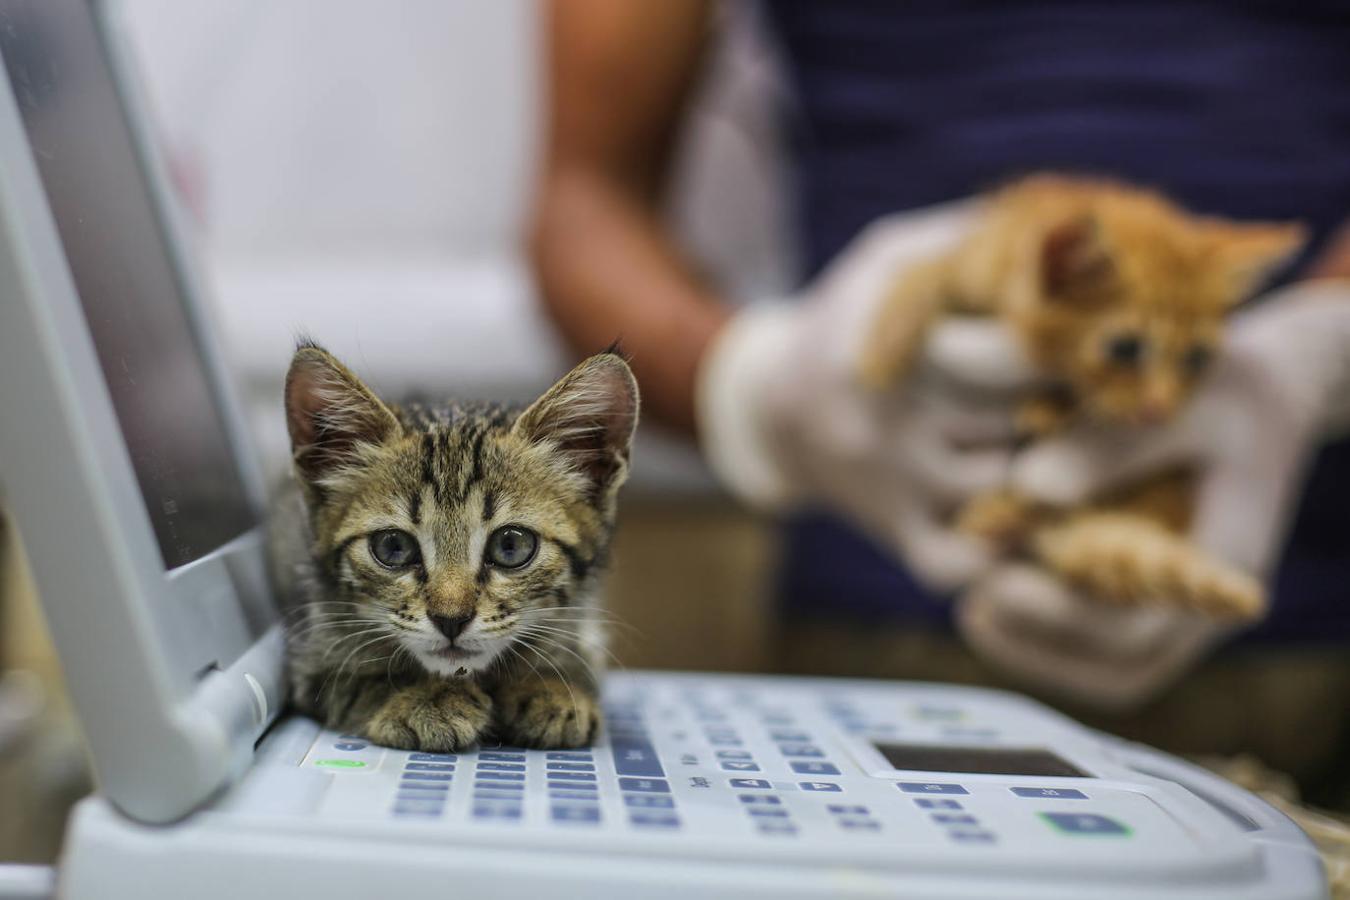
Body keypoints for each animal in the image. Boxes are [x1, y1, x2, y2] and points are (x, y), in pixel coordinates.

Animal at [271, 341, 639, 750]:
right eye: (393, 547)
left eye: (511, 546)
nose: (451, 620)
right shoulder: (308, 653)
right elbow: (350, 681)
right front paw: (423, 697)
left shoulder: (587, 625)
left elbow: (577, 657)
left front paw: (552, 687)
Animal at [858, 175, 1301, 623]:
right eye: (1126, 348)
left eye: (1196, 357)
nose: (1158, 410)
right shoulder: (976, 256)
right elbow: (929, 271)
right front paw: (886, 343)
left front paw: (1050, 407)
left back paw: (1008, 514)